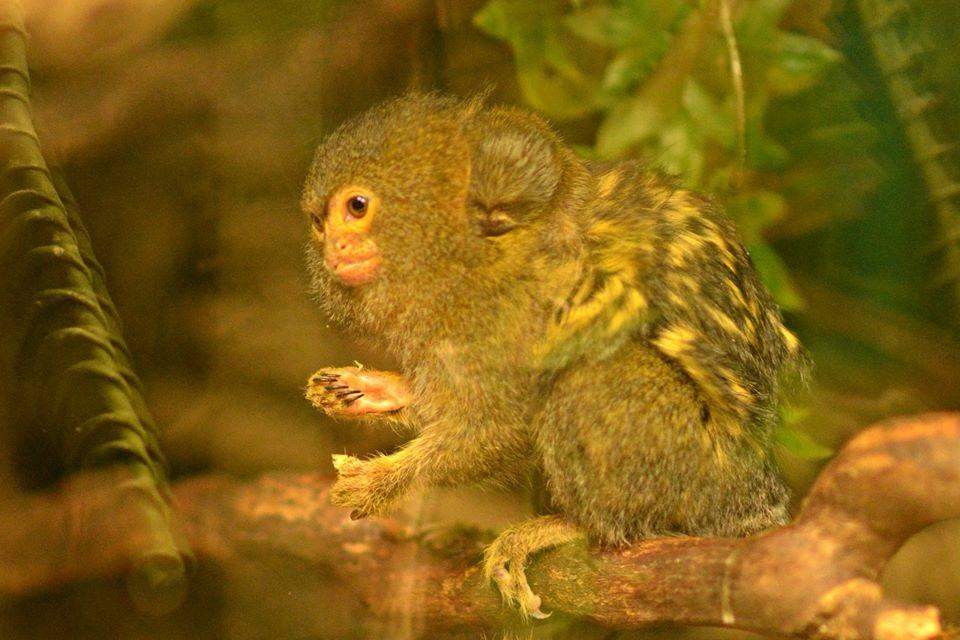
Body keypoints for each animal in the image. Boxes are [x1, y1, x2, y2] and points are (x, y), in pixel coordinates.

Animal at [301, 93, 805, 621]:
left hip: (694, 470)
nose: (335, 246)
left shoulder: (515, 312)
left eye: (357, 207)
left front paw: (384, 481)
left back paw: (578, 525)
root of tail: (755, 492)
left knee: (591, 376)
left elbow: (502, 424)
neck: (469, 256)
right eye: (318, 221)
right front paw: (372, 391)